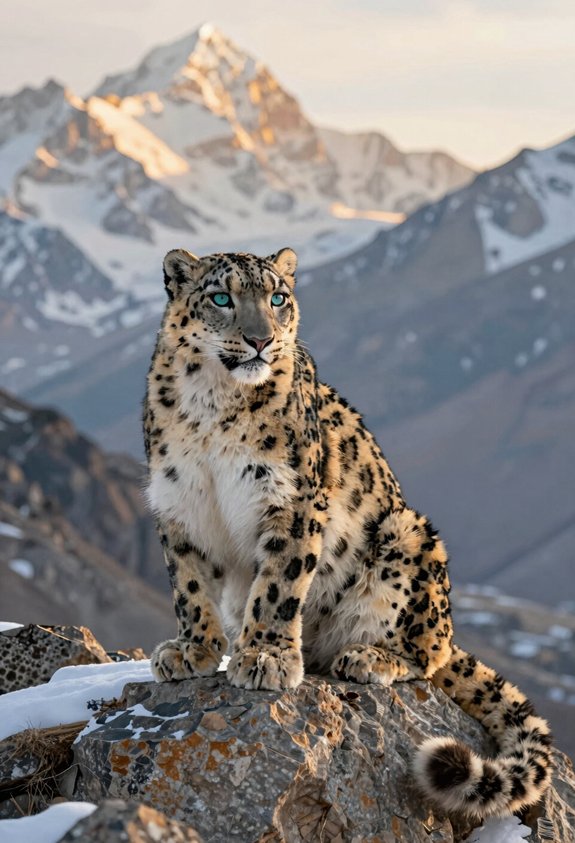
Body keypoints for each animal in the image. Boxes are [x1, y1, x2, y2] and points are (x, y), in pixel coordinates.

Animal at [143, 246, 552, 820]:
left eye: (277, 298)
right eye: (221, 297)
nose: (261, 339)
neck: (212, 406)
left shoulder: (291, 499)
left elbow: (278, 586)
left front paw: (266, 656)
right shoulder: (179, 505)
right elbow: (189, 586)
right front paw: (193, 650)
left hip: (410, 540)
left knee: (427, 654)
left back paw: (368, 656)